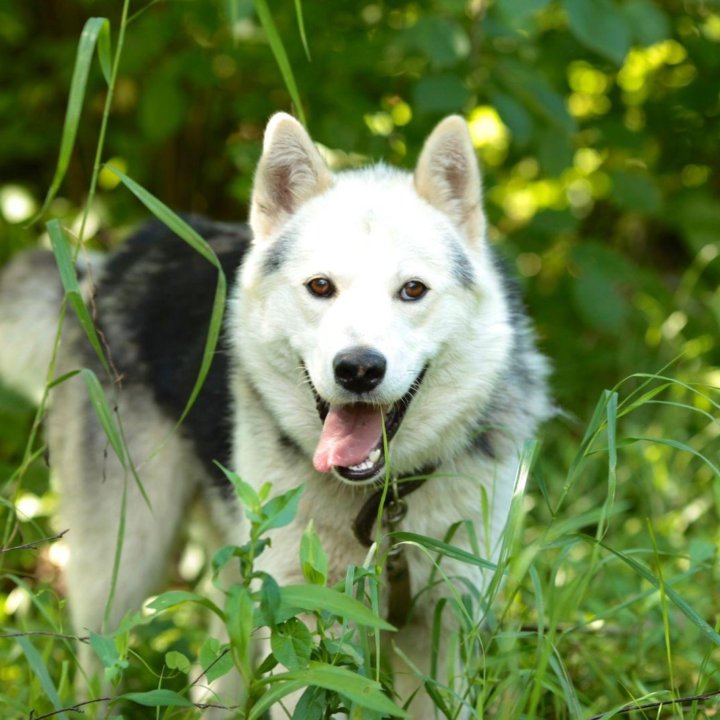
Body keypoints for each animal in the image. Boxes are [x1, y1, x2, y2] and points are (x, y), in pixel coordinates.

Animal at [0, 115, 552, 716]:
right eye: (321, 286)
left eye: (412, 290)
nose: (359, 368)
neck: (381, 503)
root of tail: (120, 257)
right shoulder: (304, 622)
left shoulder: (443, 629)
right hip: (121, 570)